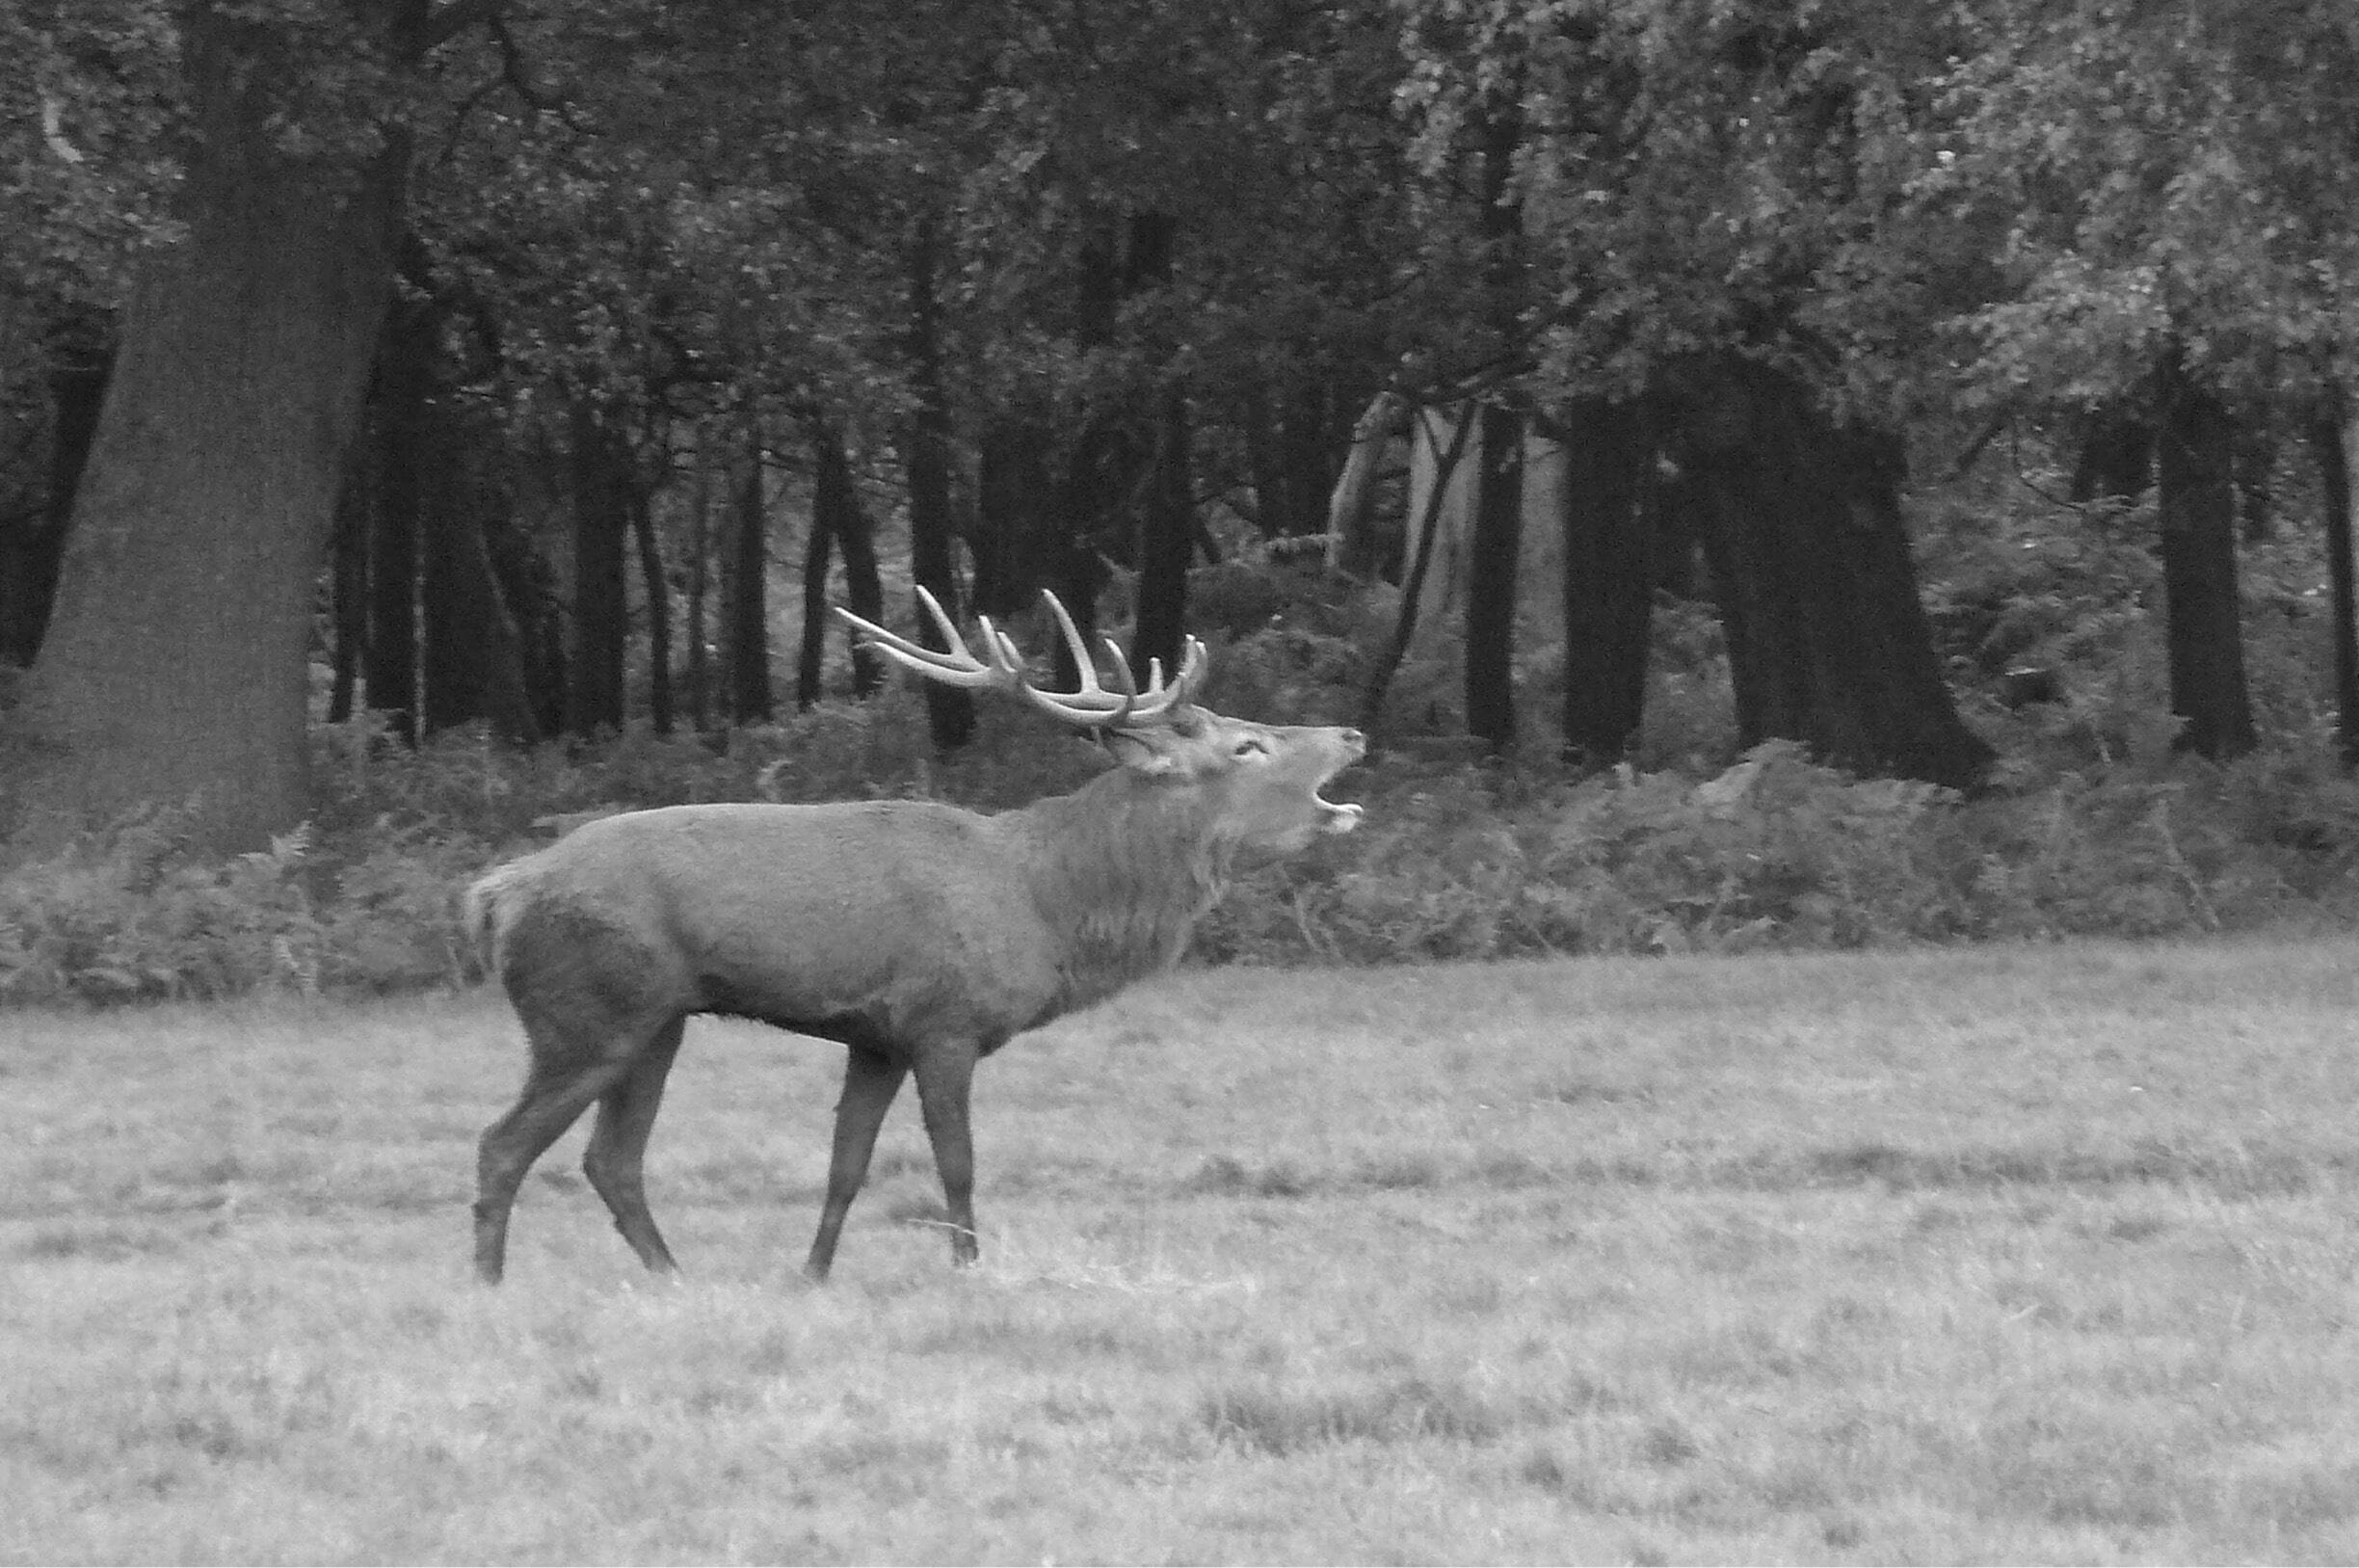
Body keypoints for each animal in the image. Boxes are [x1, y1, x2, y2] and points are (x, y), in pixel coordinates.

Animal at [465, 588, 1364, 1284]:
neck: (1042, 903)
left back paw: (674, 1277)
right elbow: (957, 1162)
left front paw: (813, 1274)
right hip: (585, 1009)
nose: (1351, 733)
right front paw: (968, 1269)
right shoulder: (944, 1020)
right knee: (504, 1144)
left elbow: (846, 1165)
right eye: (1248, 745)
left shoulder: (876, 1037)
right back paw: (490, 1281)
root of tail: (495, 893)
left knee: (610, 1159)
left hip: (656, 1019)